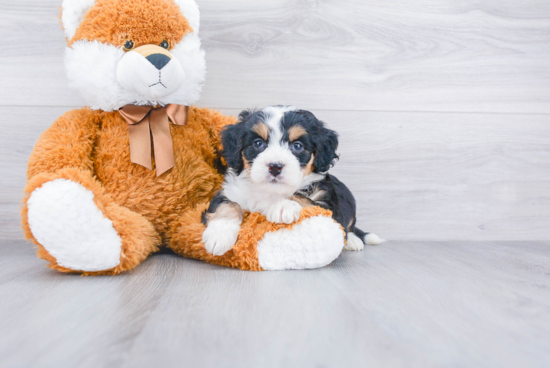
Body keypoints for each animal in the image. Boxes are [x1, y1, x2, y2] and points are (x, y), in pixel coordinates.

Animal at [203, 106, 384, 256]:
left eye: (297, 146)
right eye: (258, 143)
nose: (275, 166)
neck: (270, 191)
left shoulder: (329, 208)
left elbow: (304, 198)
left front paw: (284, 205)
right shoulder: (228, 192)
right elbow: (229, 204)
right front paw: (219, 234)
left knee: (349, 226)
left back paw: (353, 241)